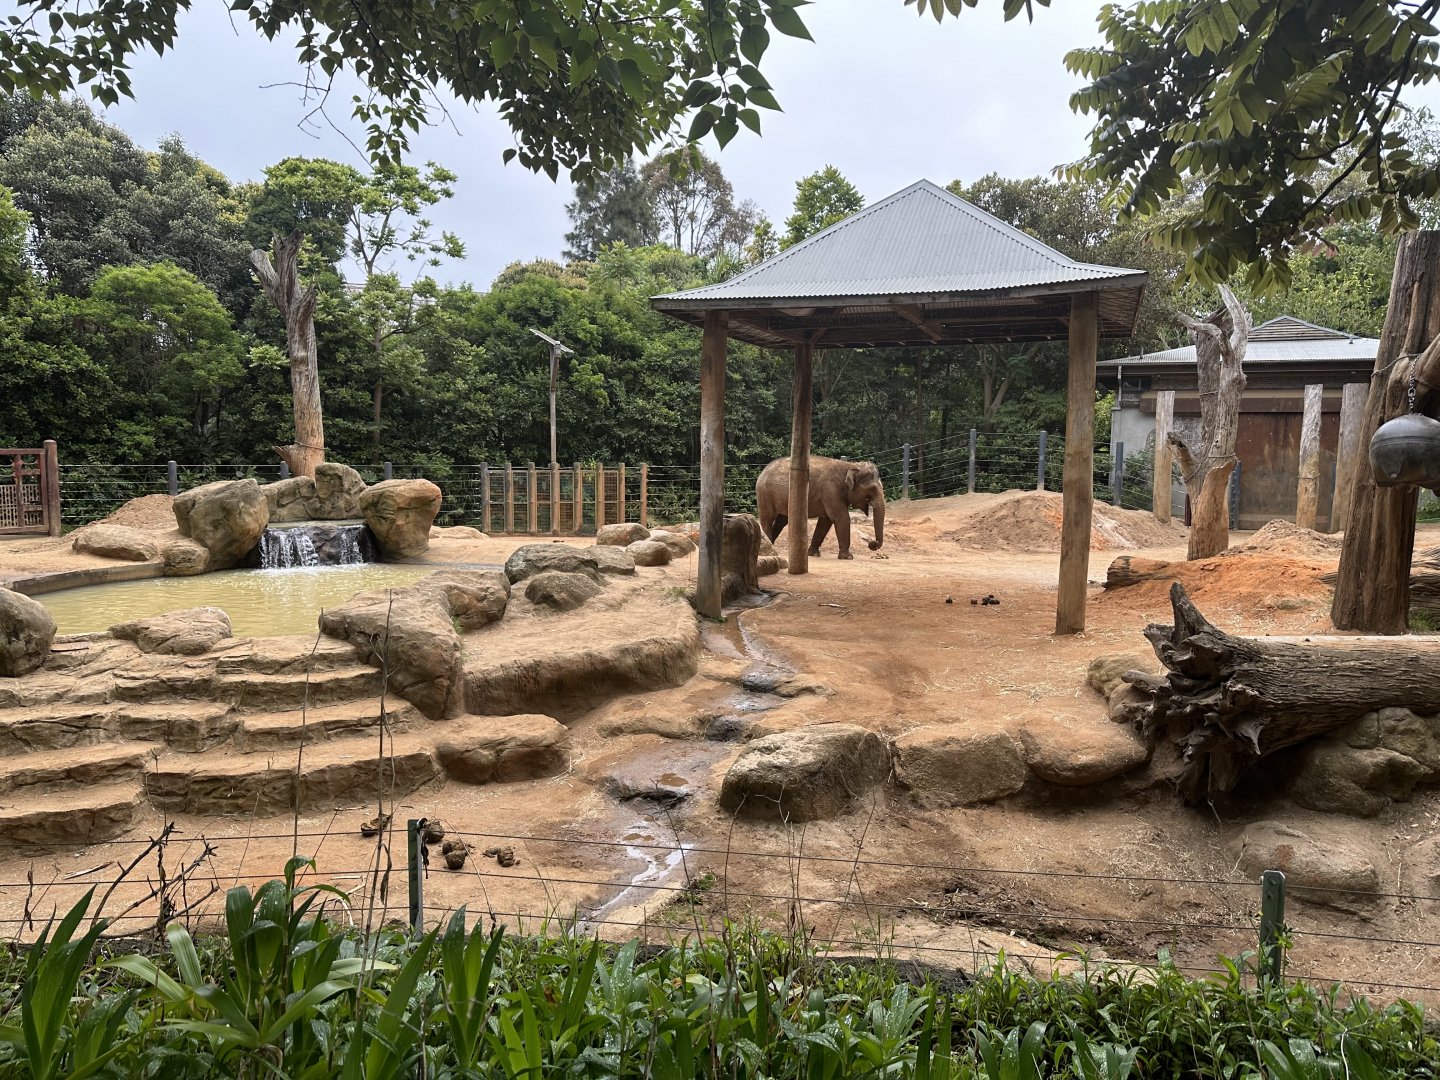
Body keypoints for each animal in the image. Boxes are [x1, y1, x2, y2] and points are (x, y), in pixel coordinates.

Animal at [755, 456, 885, 560]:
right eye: (872, 489)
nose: (873, 543)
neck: (850, 465)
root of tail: (763, 471)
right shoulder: (831, 491)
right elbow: (841, 518)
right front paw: (848, 557)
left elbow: (825, 521)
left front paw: (813, 554)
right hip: (765, 494)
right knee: (767, 519)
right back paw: (766, 549)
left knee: (781, 522)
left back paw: (771, 545)